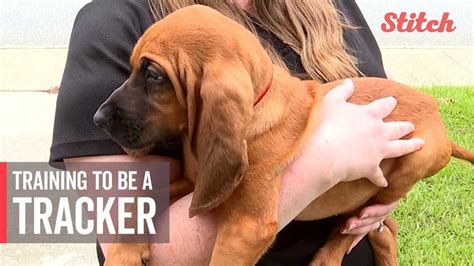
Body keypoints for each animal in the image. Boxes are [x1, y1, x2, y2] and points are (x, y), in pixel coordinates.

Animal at [93, 4, 474, 266]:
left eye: (154, 75)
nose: (97, 119)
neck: (257, 106)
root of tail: (438, 117)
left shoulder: (247, 226)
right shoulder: (199, 182)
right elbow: (144, 197)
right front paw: (124, 252)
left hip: (401, 174)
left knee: (355, 229)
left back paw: (327, 258)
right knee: (384, 230)